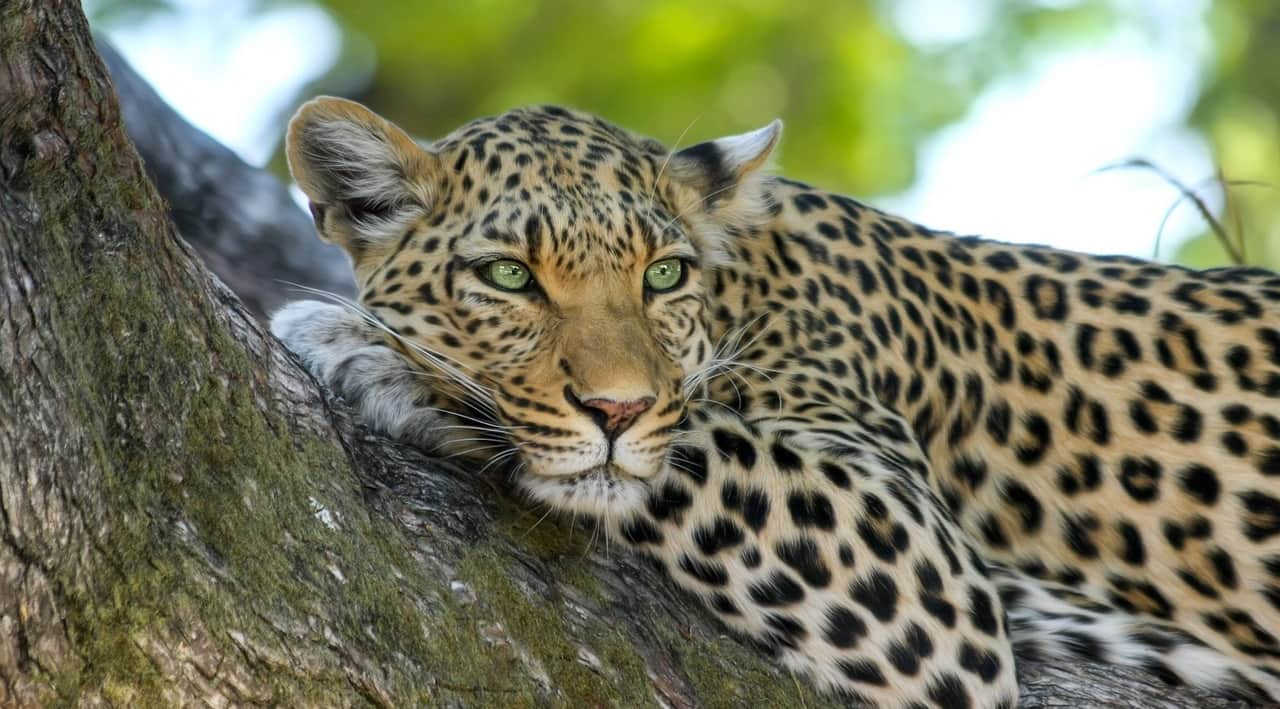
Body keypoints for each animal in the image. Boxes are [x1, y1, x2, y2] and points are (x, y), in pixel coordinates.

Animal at [270, 95, 1280, 706]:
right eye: (509, 275)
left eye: (663, 274)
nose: (617, 411)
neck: (745, 285)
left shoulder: (922, 570)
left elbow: (696, 442)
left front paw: (376, 353)